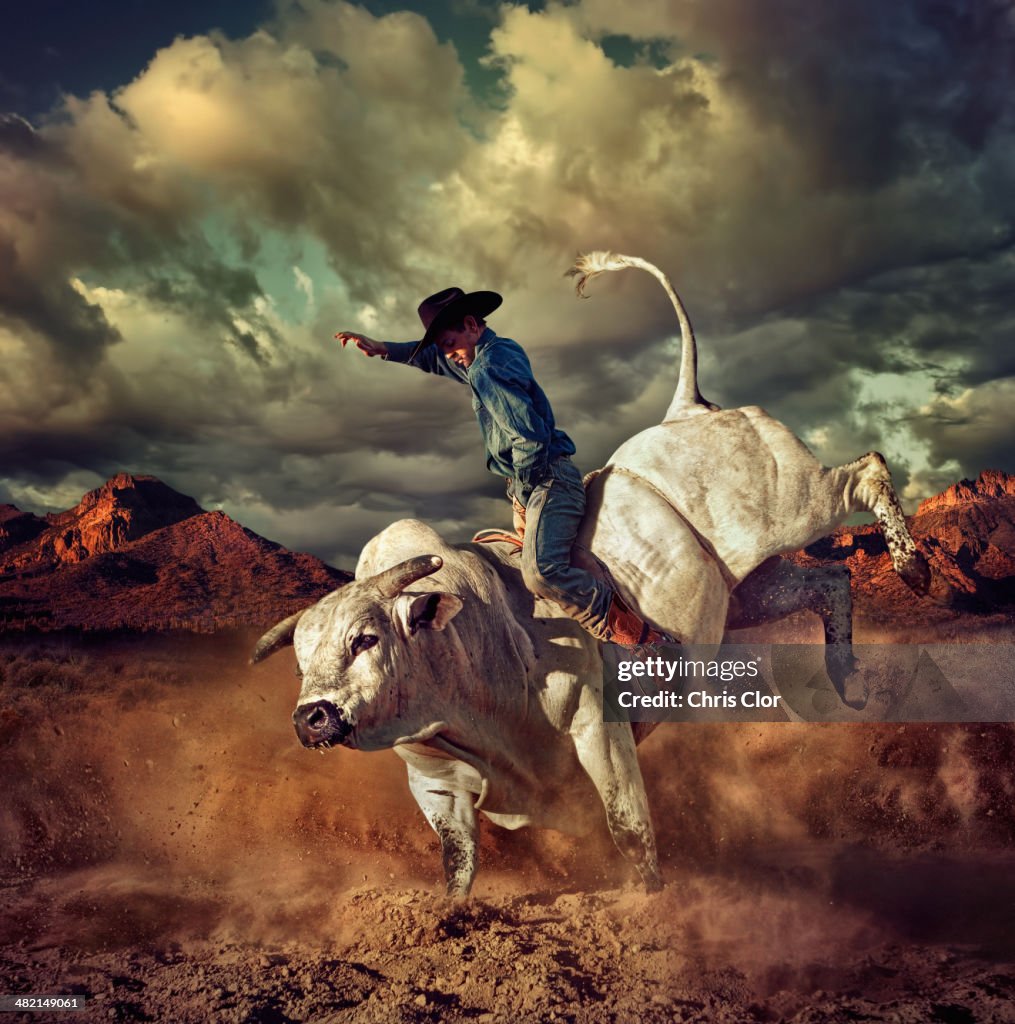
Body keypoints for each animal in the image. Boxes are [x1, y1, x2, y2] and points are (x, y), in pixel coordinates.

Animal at [251, 253, 946, 897]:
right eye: (300, 662)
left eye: (365, 639)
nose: (311, 717)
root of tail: (687, 409)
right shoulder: (434, 780)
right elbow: (458, 861)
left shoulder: (598, 728)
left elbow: (628, 828)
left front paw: (653, 903)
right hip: (747, 592)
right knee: (829, 584)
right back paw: (844, 678)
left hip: (797, 501)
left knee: (867, 470)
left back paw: (914, 570)